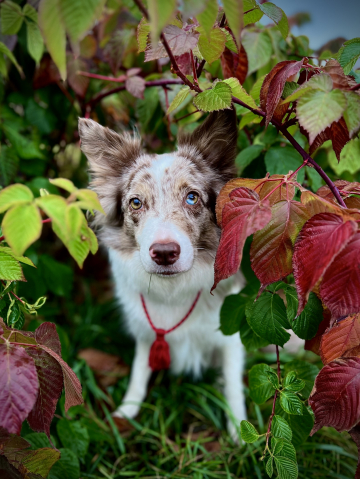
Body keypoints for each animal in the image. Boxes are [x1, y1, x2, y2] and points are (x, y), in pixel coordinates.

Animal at [79, 110, 248, 440]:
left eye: (192, 197)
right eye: (136, 202)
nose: (165, 253)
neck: (172, 290)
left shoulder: (229, 336)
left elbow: (234, 384)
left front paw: (240, 431)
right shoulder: (146, 332)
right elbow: (139, 370)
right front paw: (126, 411)